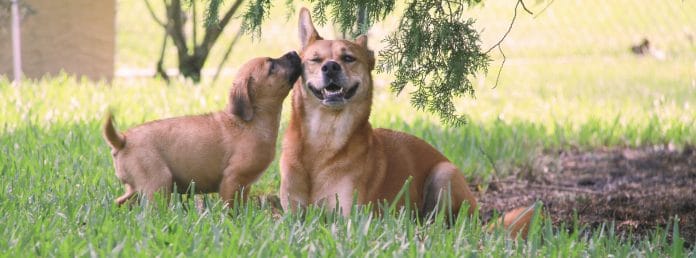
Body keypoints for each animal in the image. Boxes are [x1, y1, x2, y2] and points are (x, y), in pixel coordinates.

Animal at [102, 51, 300, 207]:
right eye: (272, 67)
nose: (294, 52)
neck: (251, 121)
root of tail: (122, 141)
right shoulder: (232, 180)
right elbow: (231, 211)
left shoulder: (244, 185)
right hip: (158, 184)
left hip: (136, 189)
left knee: (120, 202)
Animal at [280, 8, 536, 237]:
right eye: (315, 60)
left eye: (348, 58)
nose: (331, 66)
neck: (324, 136)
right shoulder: (294, 215)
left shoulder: (347, 217)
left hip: (444, 174)